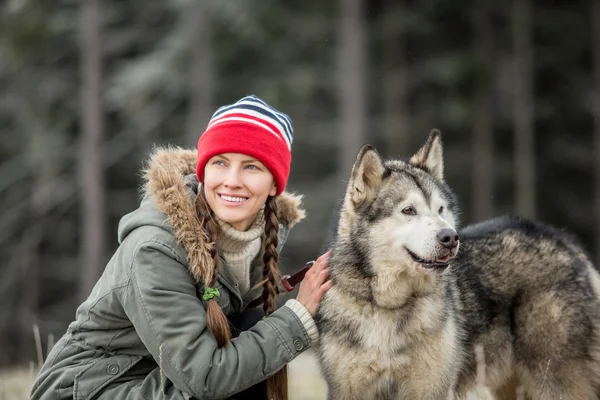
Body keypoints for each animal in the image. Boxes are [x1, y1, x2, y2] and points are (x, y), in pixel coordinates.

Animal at [314, 130, 600, 398]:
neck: (389, 307)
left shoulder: (431, 389)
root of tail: (564, 240)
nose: (450, 237)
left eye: (440, 209)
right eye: (408, 211)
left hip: (552, 381)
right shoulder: (347, 389)